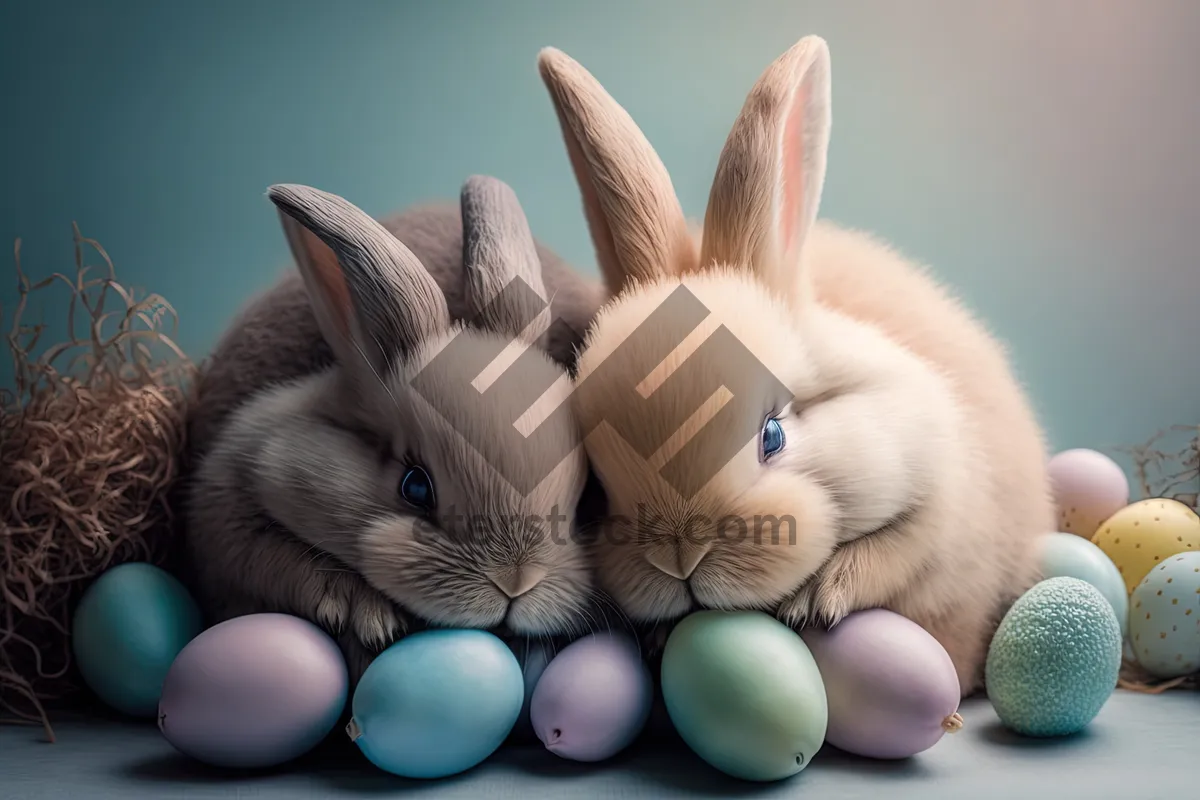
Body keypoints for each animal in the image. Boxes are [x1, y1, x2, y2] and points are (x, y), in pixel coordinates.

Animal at [180, 179, 609, 681]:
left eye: (578, 504)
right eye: (415, 486)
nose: (515, 581)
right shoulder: (223, 516)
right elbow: (276, 563)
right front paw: (365, 615)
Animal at [537, 34, 1051, 690]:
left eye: (772, 436)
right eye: (599, 484)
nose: (678, 557)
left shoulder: (945, 508)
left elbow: (897, 551)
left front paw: (816, 601)